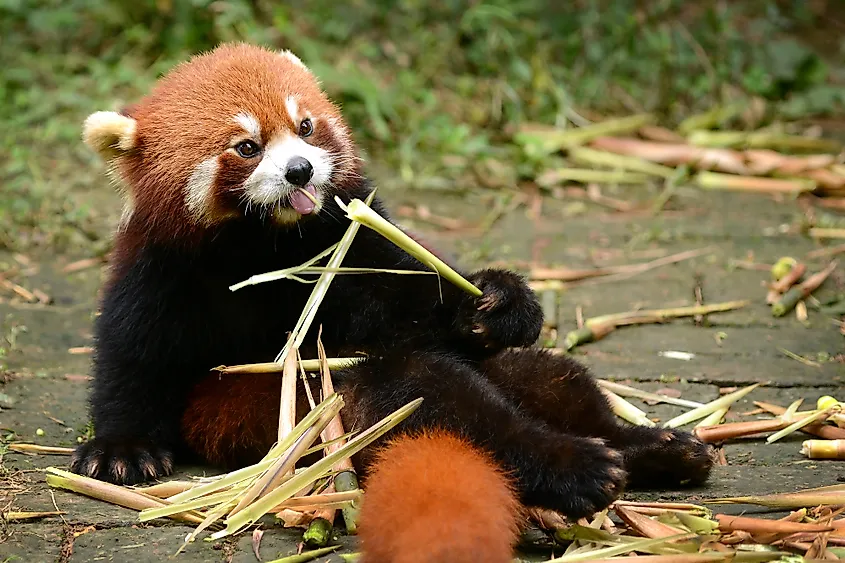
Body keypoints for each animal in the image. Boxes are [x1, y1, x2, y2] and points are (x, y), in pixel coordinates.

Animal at [76, 43, 716, 563]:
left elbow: (409, 297)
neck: (273, 241)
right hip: (293, 412)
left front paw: (499, 302)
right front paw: (121, 450)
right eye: (247, 146)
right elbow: (133, 357)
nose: (300, 169)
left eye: (306, 126)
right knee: (432, 396)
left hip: (514, 373)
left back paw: (652, 449)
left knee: (549, 378)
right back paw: (578, 466)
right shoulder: (162, 271)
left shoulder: (350, 245)